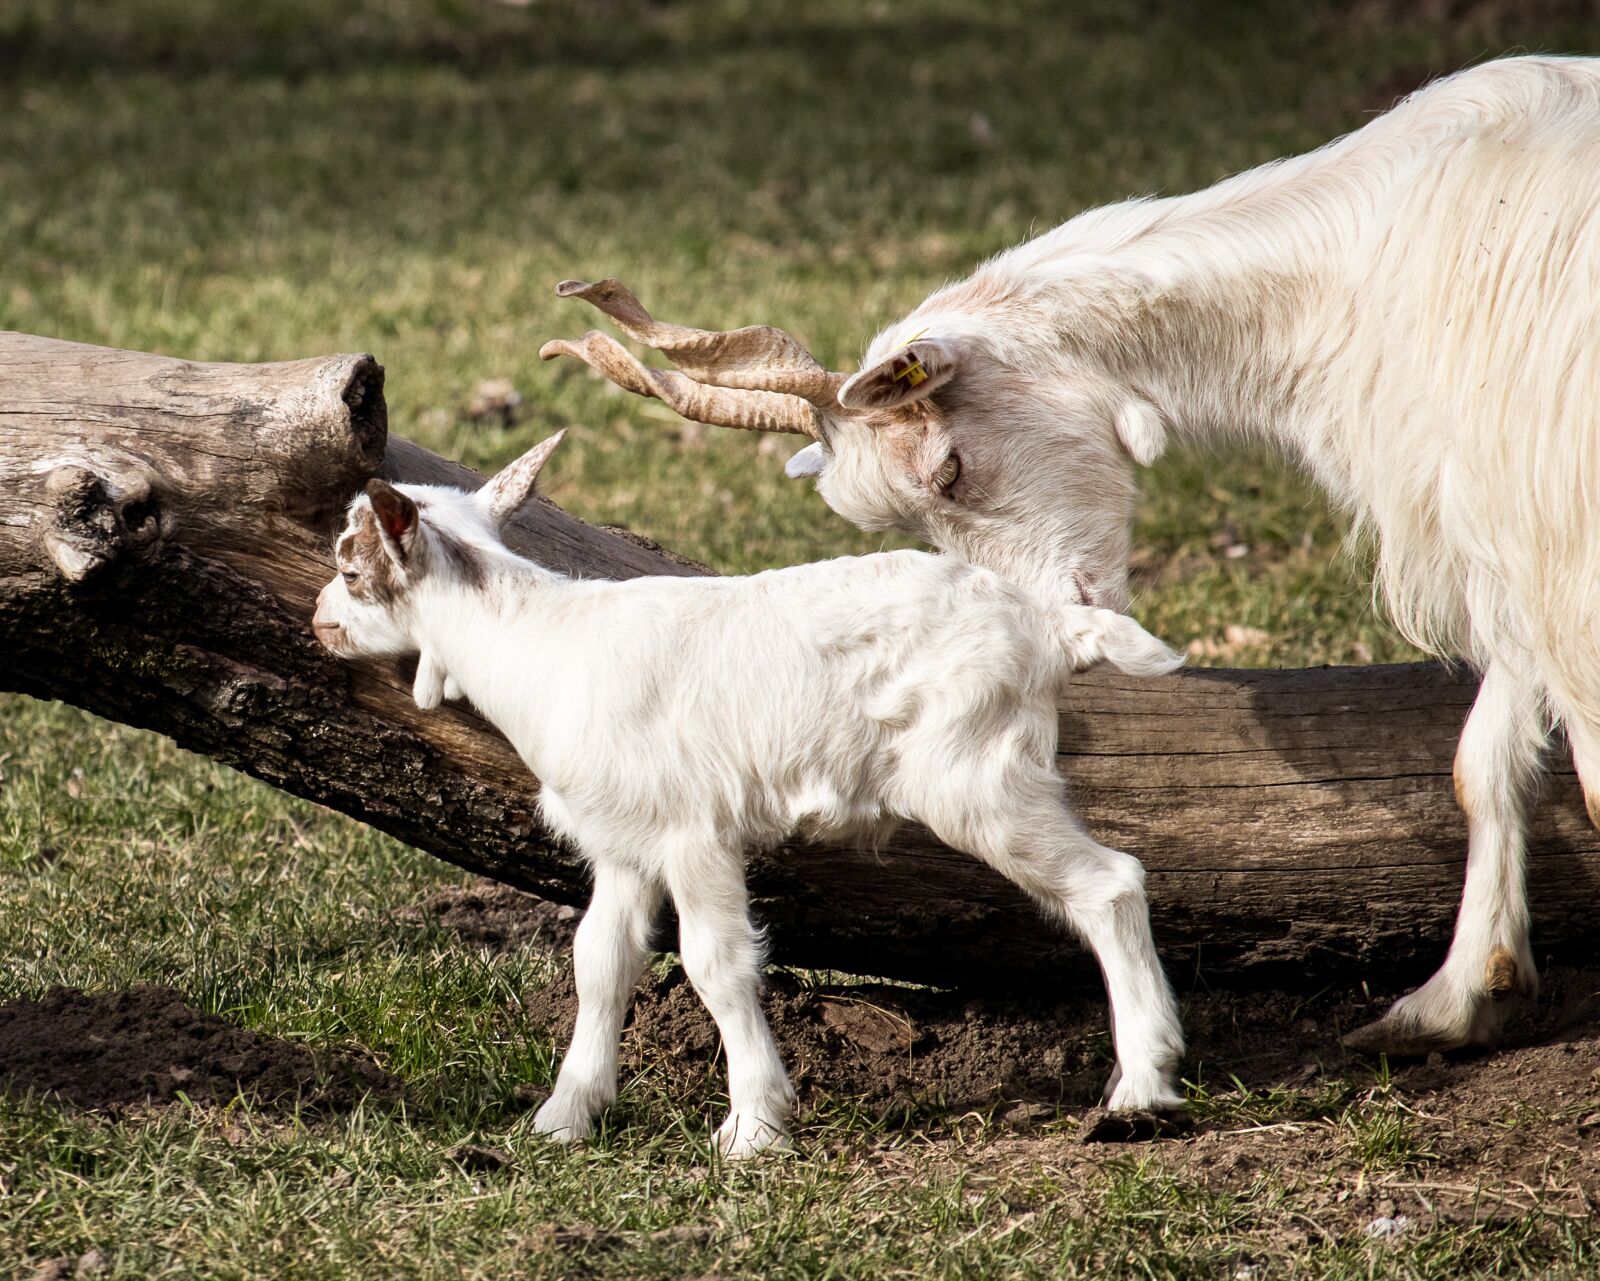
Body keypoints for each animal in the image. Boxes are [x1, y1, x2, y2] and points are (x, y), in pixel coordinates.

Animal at [311, 432, 1186, 1154]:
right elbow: (600, 960)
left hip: (977, 774)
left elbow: (717, 963)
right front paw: (563, 1118)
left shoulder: (691, 830)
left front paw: (756, 1127)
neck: (539, 643)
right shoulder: (622, 842)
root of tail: (1046, 629)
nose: (320, 621)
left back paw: (1144, 1086)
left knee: (1110, 882)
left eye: (353, 568)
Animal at [542, 54, 1600, 1057]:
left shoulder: (1549, 530)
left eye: (950, 468)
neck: (1355, 266)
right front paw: (1456, 1000)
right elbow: (1480, 759)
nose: (1047, 628)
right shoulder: (1504, 529)